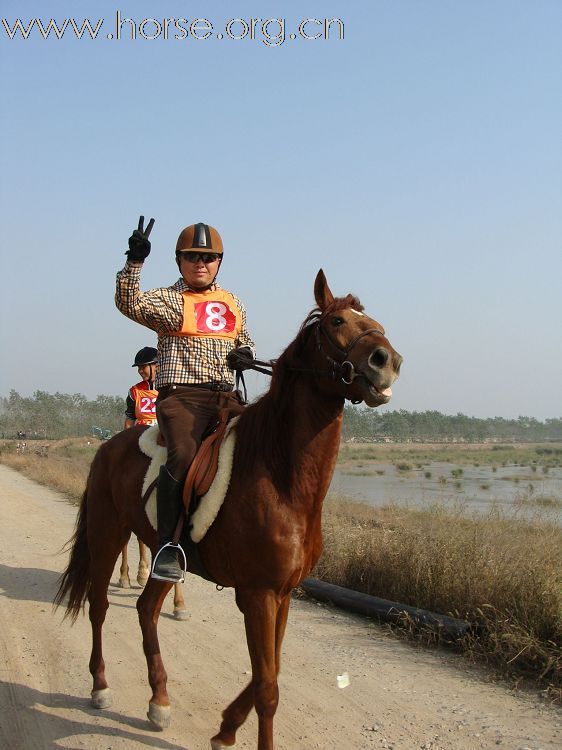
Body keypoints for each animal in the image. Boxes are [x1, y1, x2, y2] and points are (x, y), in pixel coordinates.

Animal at [54, 274, 400, 750]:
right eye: (336, 321)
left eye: (375, 320)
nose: (388, 361)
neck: (280, 475)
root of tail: (106, 446)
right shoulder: (258, 593)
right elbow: (267, 687)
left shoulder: (283, 593)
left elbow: (268, 672)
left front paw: (225, 729)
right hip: (108, 533)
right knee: (100, 605)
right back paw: (101, 686)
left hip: (162, 552)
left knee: (146, 609)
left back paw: (159, 700)